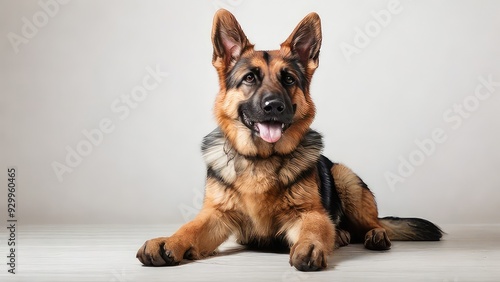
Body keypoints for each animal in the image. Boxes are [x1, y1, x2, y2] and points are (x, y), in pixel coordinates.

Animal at [136, 9, 442, 272]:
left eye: (289, 79)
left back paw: (370, 235)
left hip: (345, 177)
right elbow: (190, 228)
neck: (261, 159)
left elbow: (315, 227)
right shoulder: (216, 215)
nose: (274, 106)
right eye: (250, 78)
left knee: (374, 223)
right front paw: (169, 241)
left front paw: (311, 245)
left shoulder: (308, 213)